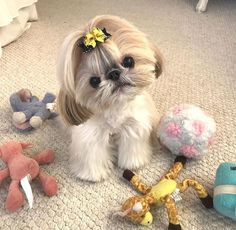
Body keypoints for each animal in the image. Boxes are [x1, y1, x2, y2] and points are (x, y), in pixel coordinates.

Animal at [57, 14, 162, 181]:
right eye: (94, 81)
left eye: (128, 61)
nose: (114, 74)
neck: (114, 108)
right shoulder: (91, 135)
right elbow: (94, 156)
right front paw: (93, 175)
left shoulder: (133, 126)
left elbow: (132, 147)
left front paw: (133, 163)